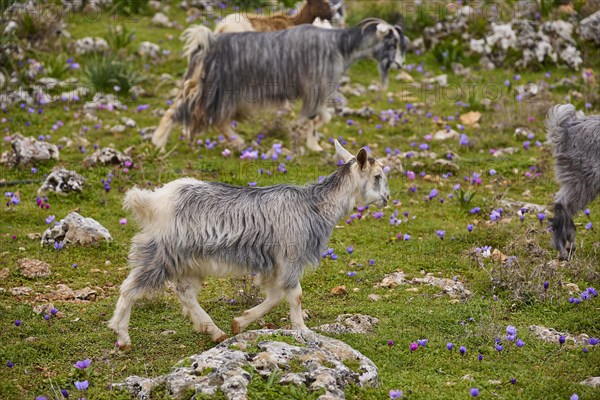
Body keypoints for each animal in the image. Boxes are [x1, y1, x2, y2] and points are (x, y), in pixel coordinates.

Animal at [108, 141, 392, 350]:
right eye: (378, 176)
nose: (387, 198)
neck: (313, 206)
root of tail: (151, 202)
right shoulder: (290, 257)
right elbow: (295, 295)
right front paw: (302, 330)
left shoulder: (274, 263)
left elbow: (275, 295)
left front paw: (239, 323)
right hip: (158, 255)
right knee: (129, 289)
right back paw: (122, 337)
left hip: (187, 261)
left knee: (185, 293)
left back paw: (215, 331)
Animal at [152, 17, 410, 152]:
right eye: (392, 43)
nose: (399, 64)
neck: (339, 45)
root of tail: (207, 43)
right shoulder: (316, 87)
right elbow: (313, 118)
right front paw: (310, 142)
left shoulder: (317, 91)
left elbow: (321, 117)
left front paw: (306, 138)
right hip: (216, 90)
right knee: (184, 111)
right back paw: (159, 143)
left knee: (217, 119)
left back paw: (237, 141)